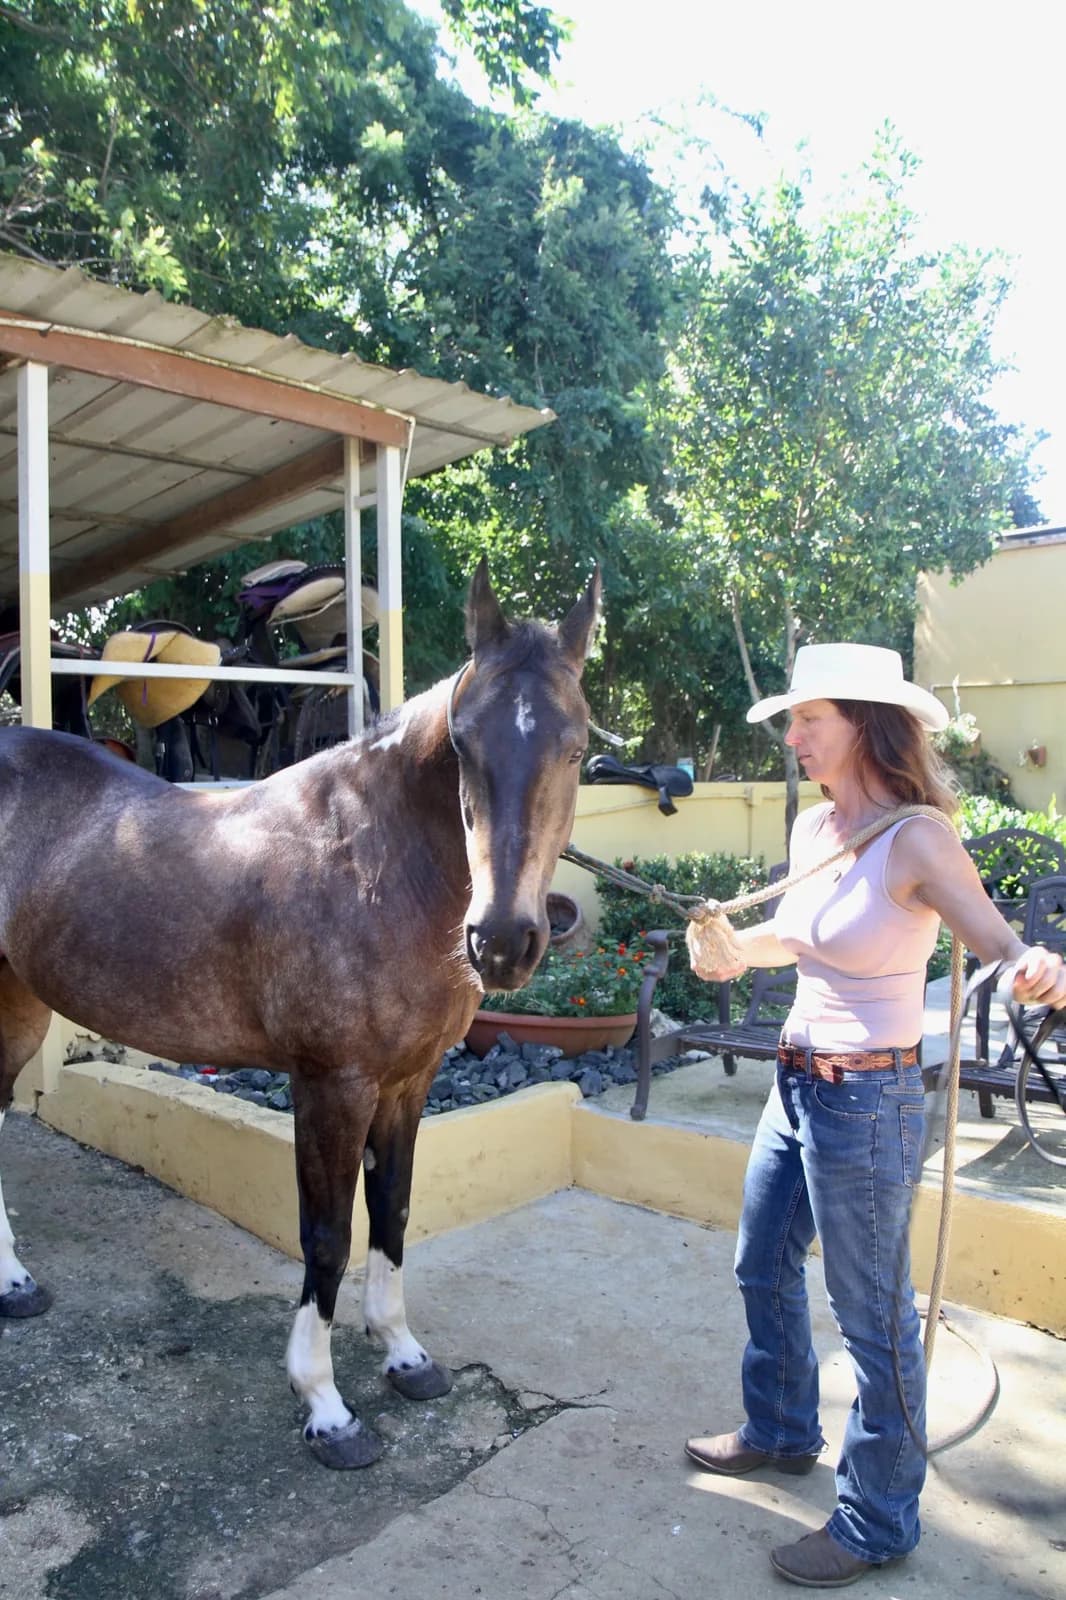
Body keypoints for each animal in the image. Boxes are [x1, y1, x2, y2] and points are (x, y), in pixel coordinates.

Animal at [0, 560, 600, 1469]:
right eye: (463, 744)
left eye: (578, 746)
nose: (502, 941)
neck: (375, 864)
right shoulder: (331, 1087)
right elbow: (327, 1236)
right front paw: (325, 1406)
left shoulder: (409, 1082)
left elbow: (392, 1211)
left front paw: (403, 1354)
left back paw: (15, 1286)